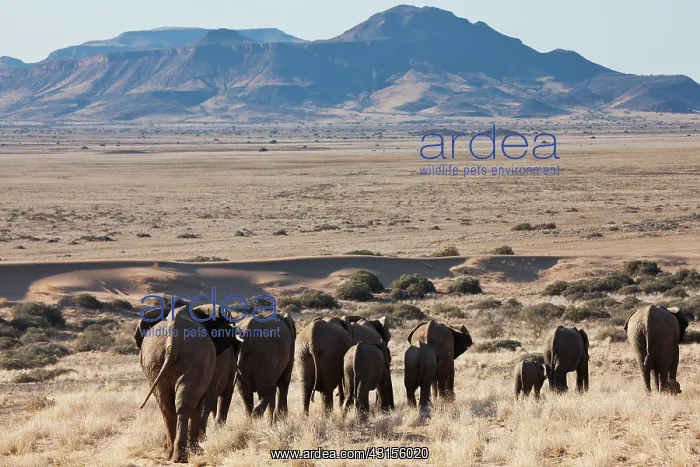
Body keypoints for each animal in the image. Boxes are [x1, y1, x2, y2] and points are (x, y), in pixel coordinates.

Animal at [135, 305, 238, 463]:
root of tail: (171, 343)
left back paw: (170, 455)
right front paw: (197, 451)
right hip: (194, 360)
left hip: (153, 359)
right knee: (185, 405)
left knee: (168, 406)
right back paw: (181, 456)